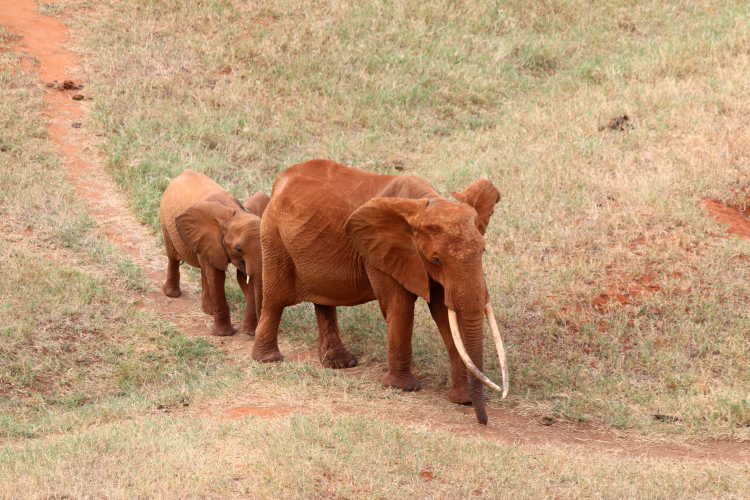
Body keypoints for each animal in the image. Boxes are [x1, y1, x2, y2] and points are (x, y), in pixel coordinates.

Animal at [159, 170, 270, 338]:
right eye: (238, 249)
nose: (254, 333)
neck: (235, 214)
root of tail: (183, 173)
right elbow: (217, 277)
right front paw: (224, 334)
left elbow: (243, 279)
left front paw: (248, 332)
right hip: (166, 220)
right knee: (173, 256)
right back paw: (172, 294)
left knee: (204, 270)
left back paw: (208, 311)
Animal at [254, 159, 512, 422]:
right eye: (436, 259)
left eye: (483, 250)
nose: (483, 420)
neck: (424, 204)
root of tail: (279, 182)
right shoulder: (381, 254)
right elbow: (399, 307)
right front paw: (402, 387)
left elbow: (443, 314)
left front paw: (462, 400)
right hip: (273, 236)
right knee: (275, 299)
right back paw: (268, 359)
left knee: (323, 302)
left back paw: (340, 364)